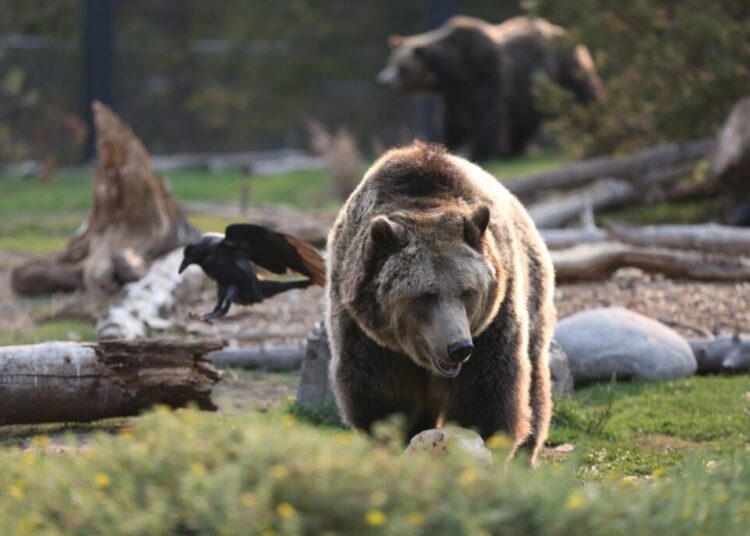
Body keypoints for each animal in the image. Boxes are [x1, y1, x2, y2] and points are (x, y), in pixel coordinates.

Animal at [326, 141, 556, 464]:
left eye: (468, 291)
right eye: (425, 295)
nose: (459, 347)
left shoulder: (492, 323)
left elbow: (487, 392)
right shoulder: (366, 332)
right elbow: (381, 395)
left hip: (532, 288)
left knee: (533, 376)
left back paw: (527, 453)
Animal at [376, 15, 604, 160]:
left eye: (402, 67)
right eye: (390, 61)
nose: (383, 81)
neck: (454, 70)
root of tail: (564, 32)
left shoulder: (483, 76)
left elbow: (485, 117)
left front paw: (479, 152)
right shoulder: (455, 95)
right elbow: (451, 123)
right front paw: (439, 143)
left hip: (562, 72)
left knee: (582, 97)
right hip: (532, 92)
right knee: (526, 123)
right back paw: (515, 150)